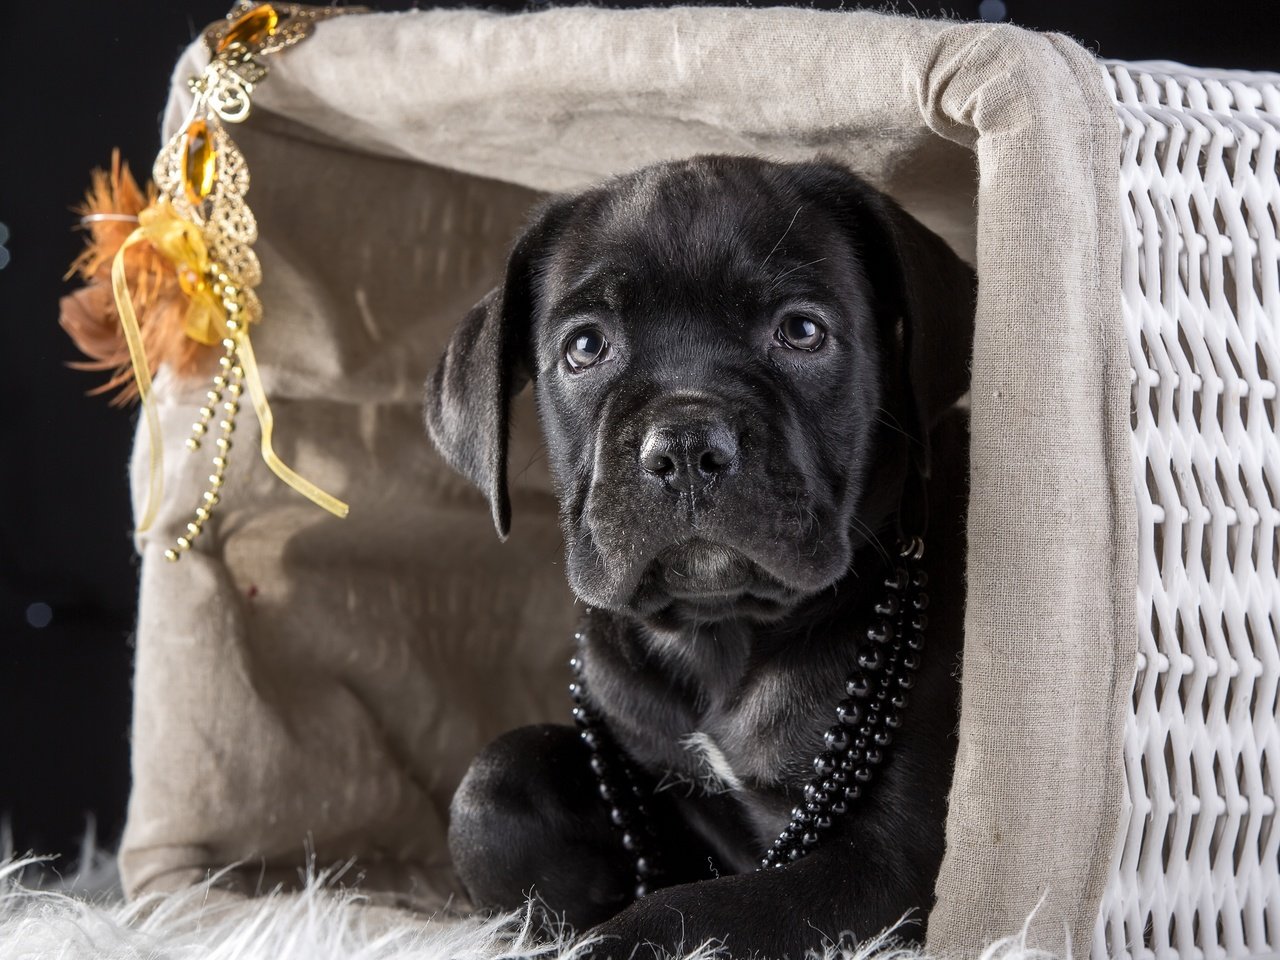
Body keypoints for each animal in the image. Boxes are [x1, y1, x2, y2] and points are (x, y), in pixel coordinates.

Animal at [424, 154, 972, 957]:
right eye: (584, 348)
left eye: (801, 331)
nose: (684, 446)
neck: (721, 634)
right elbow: (491, 786)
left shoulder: (882, 865)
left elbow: (693, 915)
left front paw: (602, 934)